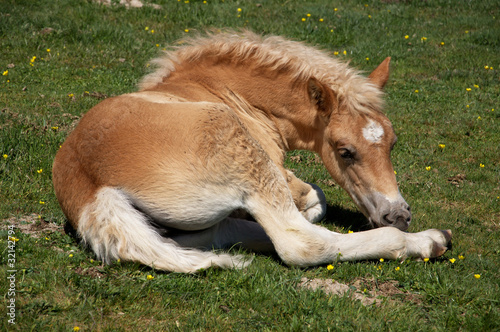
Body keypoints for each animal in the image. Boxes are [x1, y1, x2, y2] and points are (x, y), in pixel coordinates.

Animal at [52, 31, 452, 272]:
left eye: (392, 142)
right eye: (345, 151)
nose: (397, 215)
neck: (230, 91)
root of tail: (92, 192)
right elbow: (315, 200)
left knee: (217, 234)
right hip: (239, 149)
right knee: (299, 244)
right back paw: (429, 241)